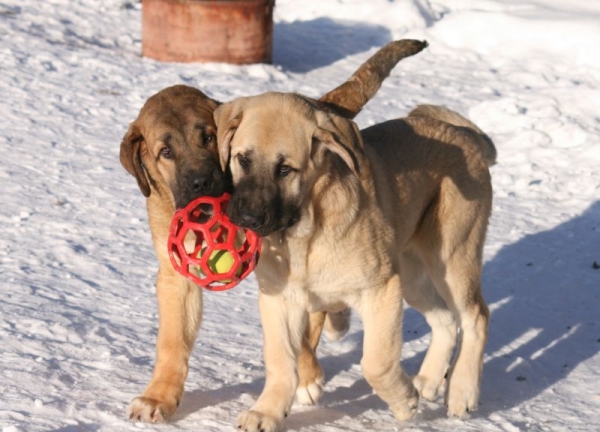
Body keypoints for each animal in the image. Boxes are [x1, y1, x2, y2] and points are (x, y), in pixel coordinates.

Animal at [118, 40, 426, 422]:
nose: (201, 182)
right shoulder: (178, 273)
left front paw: (305, 376)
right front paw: (158, 396)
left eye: (208, 137)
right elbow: (172, 340)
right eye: (165, 151)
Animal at [213, 93, 494, 430]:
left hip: (451, 257)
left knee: (475, 316)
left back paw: (461, 392)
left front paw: (404, 402)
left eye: (285, 170)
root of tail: (465, 135)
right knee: (446, 320)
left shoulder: (381, 290)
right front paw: (267, 411)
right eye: (243, 159)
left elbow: (376, 362)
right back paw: (428, 380)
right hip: (411, 275)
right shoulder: (279, 300)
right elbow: (280, 359)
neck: (306, 233)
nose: (248, 218)